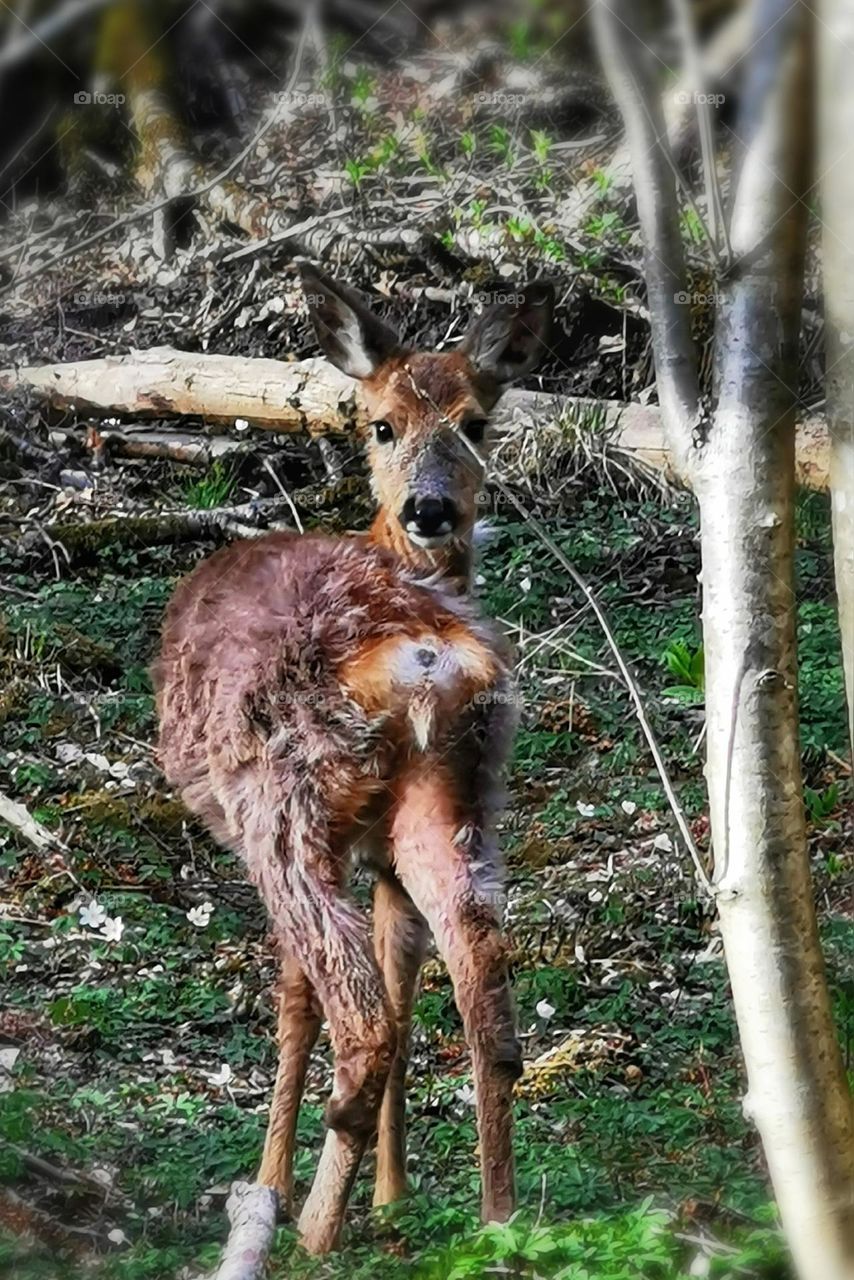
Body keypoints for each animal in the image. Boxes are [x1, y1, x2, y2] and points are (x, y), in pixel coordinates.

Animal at [153, 262, 555, 1259]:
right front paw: (395, 1194)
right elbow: (409, 985)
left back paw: (306, 1228)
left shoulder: (310, 841)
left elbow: (297, 1002)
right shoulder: (380, 858)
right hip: (457, 802)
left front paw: (277, 1178)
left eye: (476, 422)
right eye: (382, 423)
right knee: (487, 1005)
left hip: (288, 807)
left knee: (360, 1018)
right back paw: (498, 1222)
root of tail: (424, 653)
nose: (431, 508)